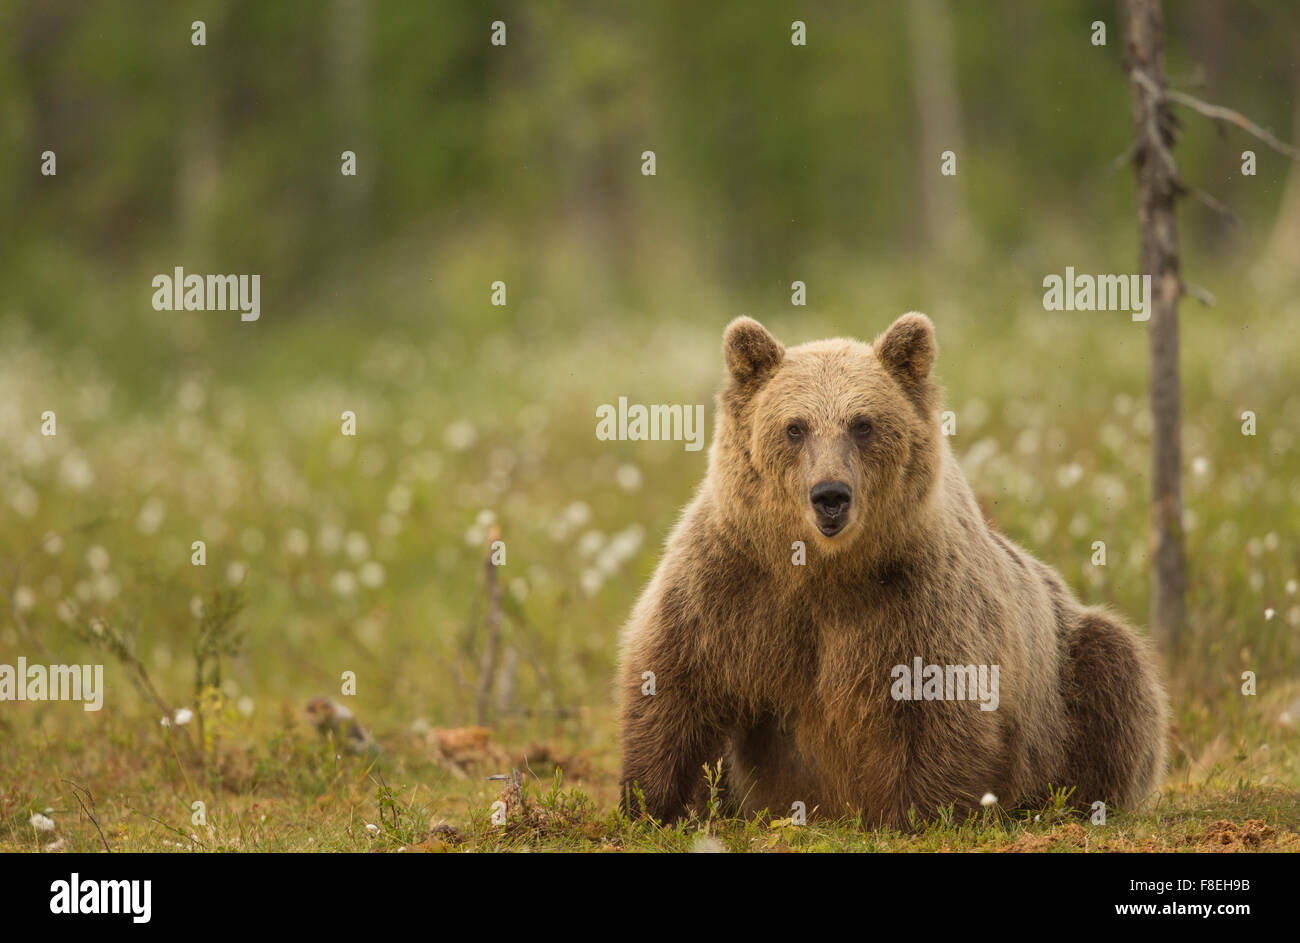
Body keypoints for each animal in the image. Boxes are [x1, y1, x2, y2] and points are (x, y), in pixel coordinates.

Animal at [617, 313, 1168, 827]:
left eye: (862, 424)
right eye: (795, 427)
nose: (830, 496)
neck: (821, 569)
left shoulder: (917, 598)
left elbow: (937, 705)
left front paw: (915, 814)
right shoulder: (730, 583)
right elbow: (674, 682)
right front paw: (652, 803)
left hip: (1062, 662)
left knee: (1116, 674)